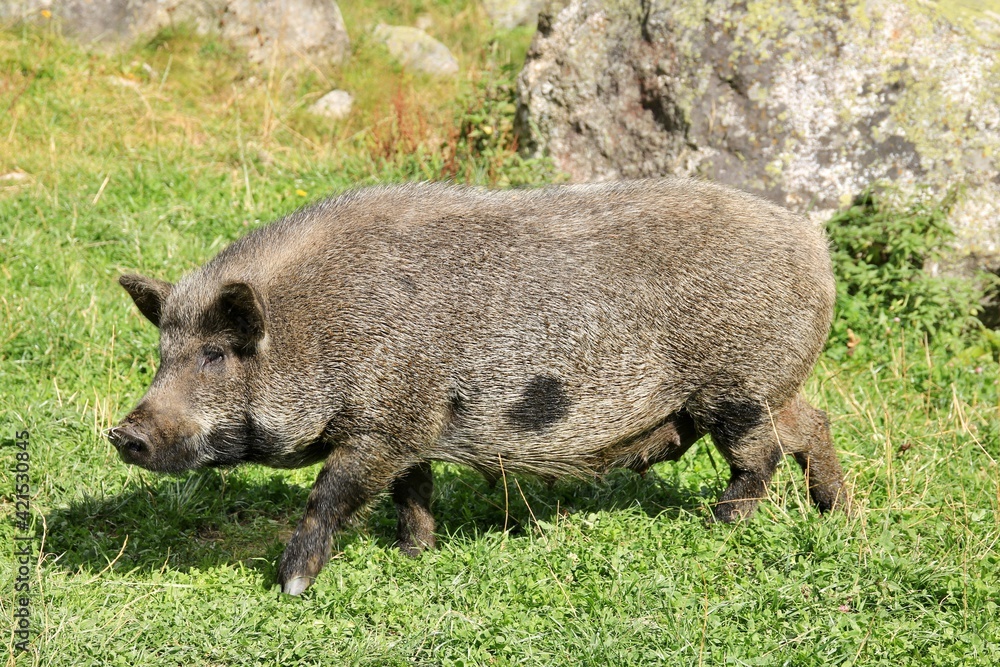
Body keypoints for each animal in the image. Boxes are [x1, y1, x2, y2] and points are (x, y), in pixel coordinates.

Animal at [109, 178, 848, 595]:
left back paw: (720, 523)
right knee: (812, 424)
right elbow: (413, 493)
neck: (318, 328)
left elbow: (330, 495)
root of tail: (816, 248)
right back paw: (834, 511)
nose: (123, 431)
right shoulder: (412, 425)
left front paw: (290, 586)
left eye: (214, 355)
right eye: (161, 354)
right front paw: (415, 554)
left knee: (761, 454)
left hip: (733, 384)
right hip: (765, 387)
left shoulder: (383, 426)